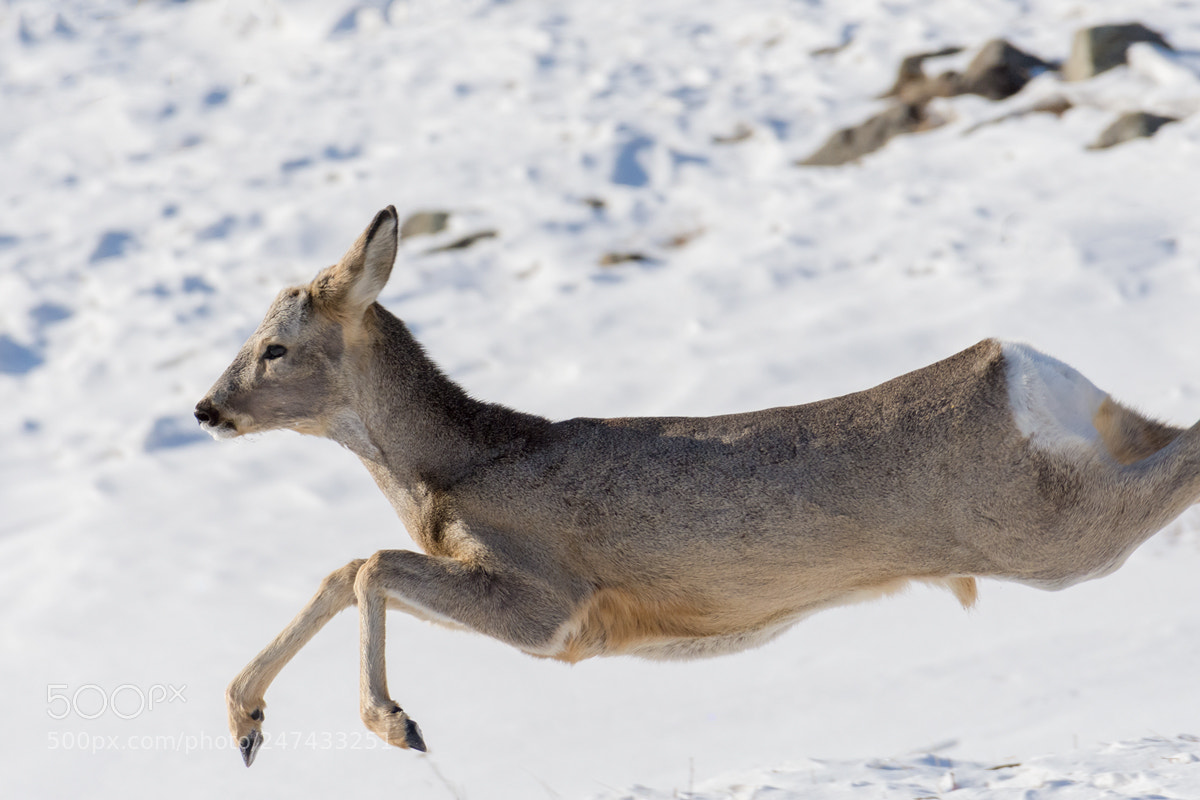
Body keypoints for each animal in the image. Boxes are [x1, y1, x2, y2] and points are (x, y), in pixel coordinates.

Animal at [195, 206, 1198, 767]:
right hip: (1079, 468)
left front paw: (396, 725)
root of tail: (1027, 368)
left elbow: (368, 565)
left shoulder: (551, 607)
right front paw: (245, 722)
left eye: (275, 347)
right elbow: (347, 568)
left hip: (1045, 528)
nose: (207, 409)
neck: (454, 468)